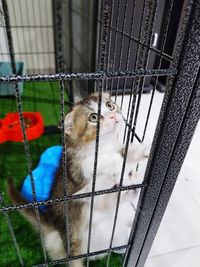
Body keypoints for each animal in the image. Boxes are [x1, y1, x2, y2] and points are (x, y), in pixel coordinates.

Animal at [7, 92, 148, 267]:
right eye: (94, 117)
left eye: (110, 105)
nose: (113, 115)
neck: (104, 146)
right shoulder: (78, 173)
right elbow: (98, 164)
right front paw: (118, 163)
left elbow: (123, 153)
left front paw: (140, 151)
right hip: (73, 237)